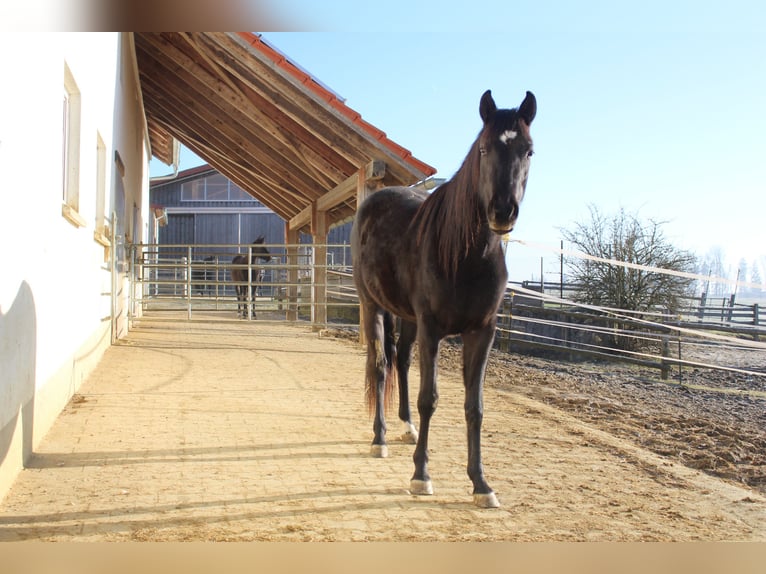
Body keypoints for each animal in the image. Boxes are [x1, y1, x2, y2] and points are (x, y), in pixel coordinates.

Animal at [352, 90, 536, 508]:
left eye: (529, 150)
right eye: (483, 149)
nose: (503, 210)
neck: (466, 255)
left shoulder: (482, 332)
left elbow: (474, 406)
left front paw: (481, 483)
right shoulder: (433, 329)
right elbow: (430, 398)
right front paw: (421, 476)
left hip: (406, 317)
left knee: (401, 361)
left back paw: (406, 428)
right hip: (373, 306)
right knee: (381, 365)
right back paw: (380, 438)